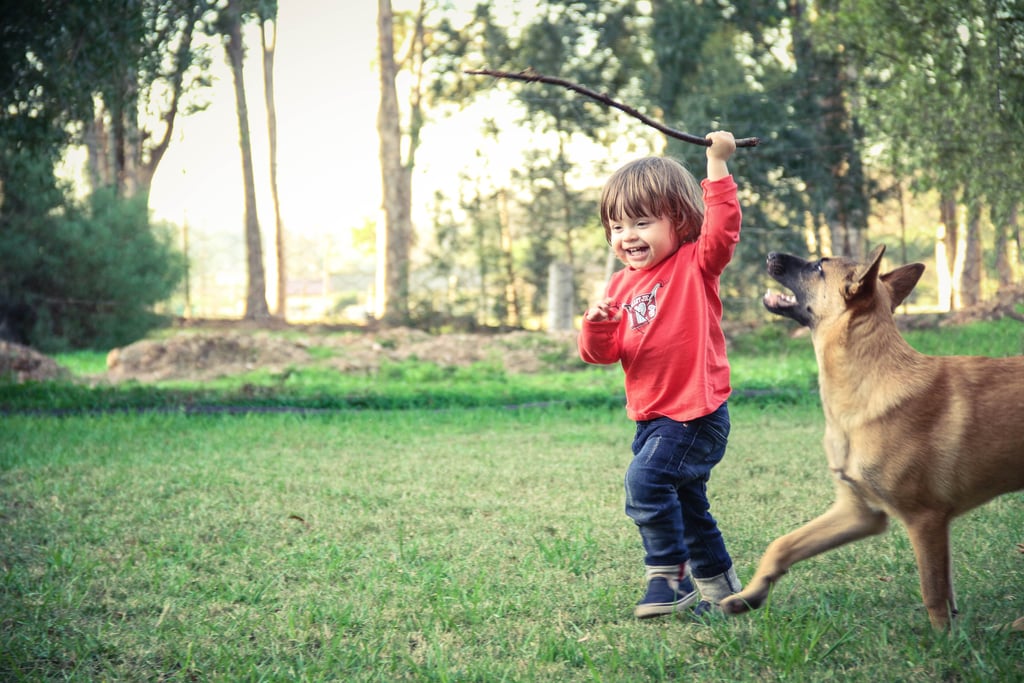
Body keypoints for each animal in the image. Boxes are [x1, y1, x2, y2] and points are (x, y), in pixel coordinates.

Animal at [720, 245, 1024, 630]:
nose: (772, 252)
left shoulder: (925, 520)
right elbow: (783, 545)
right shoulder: (858, 513)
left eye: (818, 266)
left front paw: (945, 641)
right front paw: (749, 595)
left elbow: (933, 591)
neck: (866, 382)